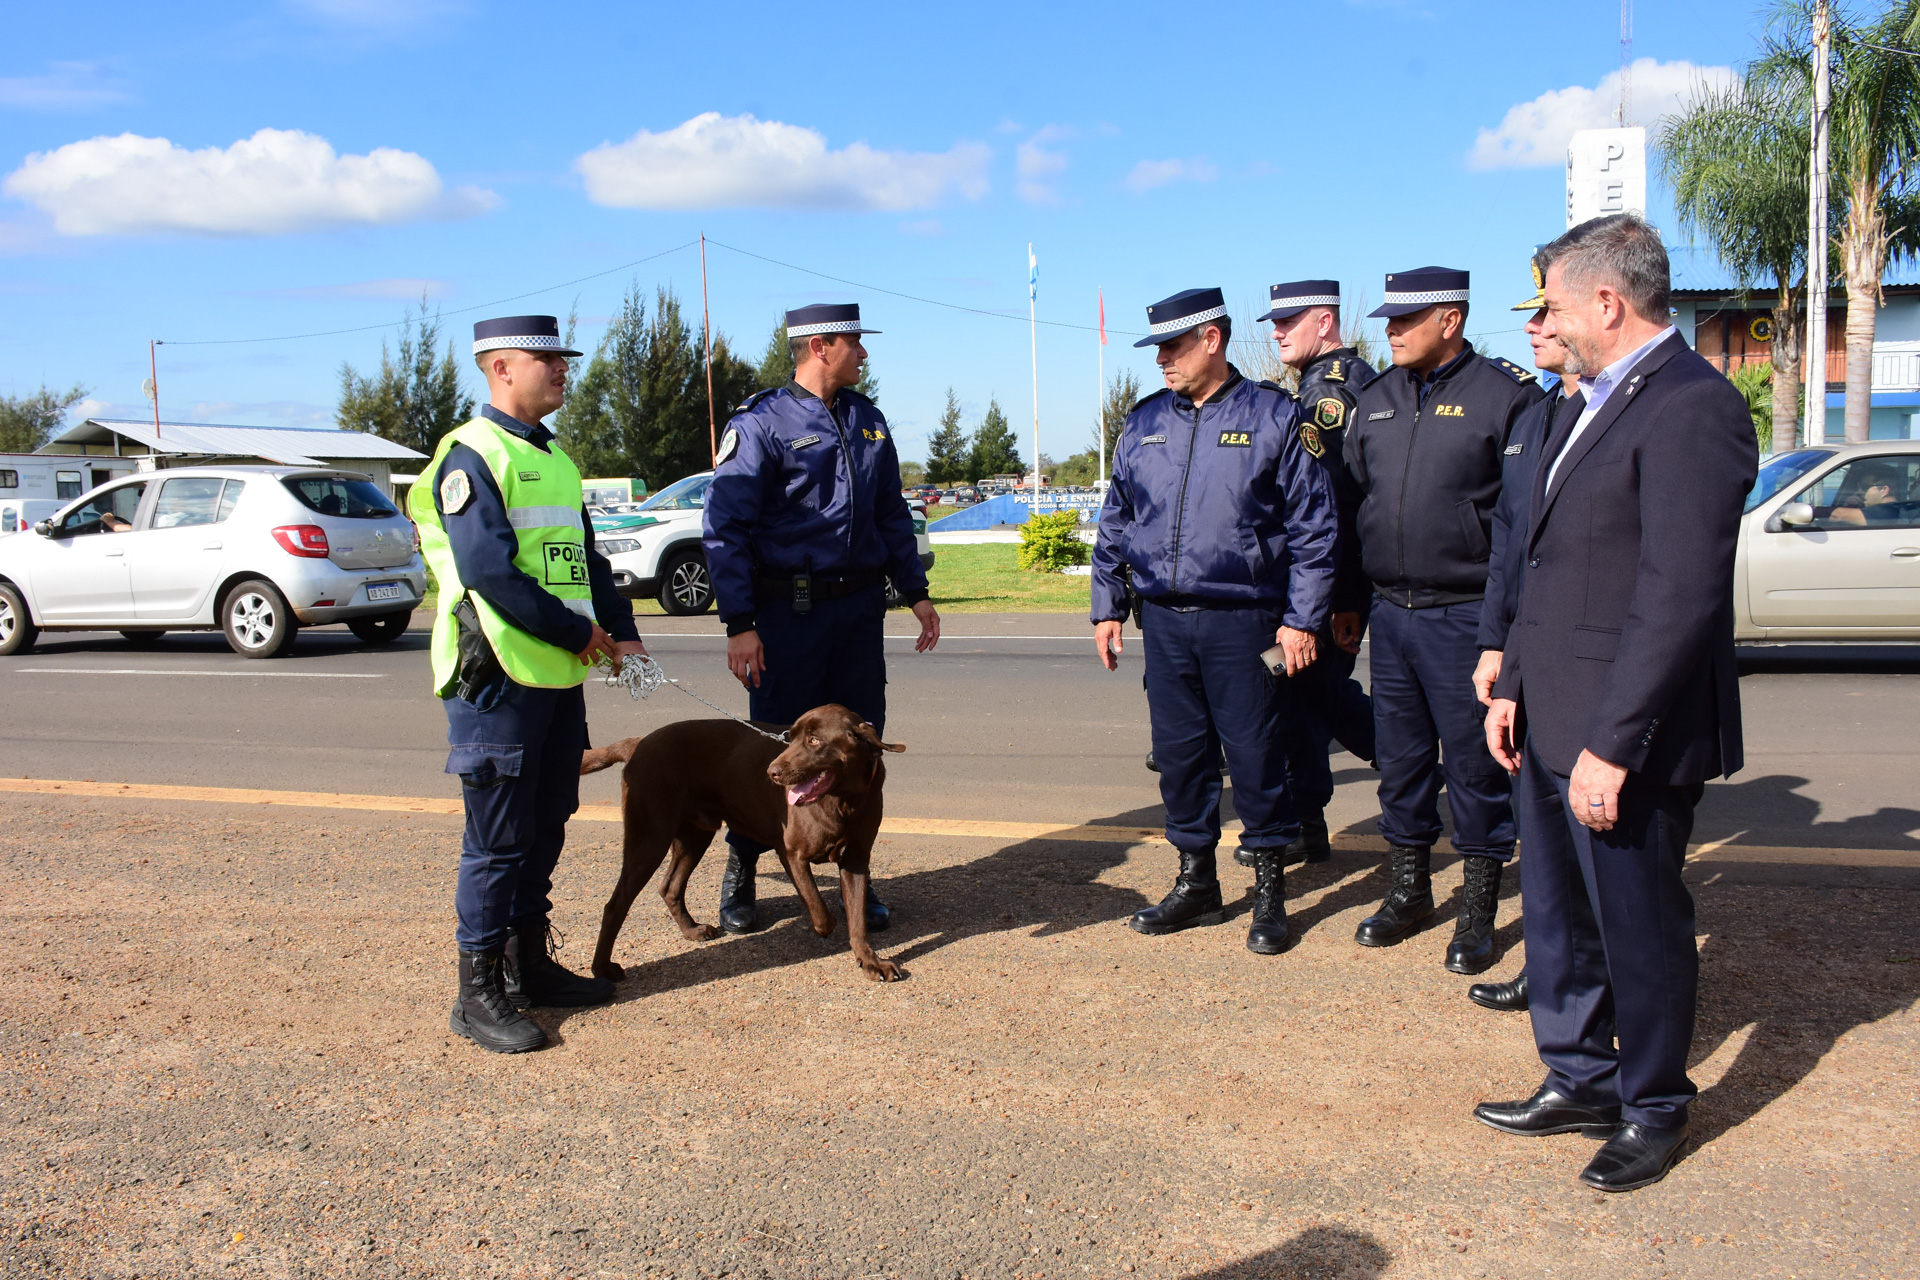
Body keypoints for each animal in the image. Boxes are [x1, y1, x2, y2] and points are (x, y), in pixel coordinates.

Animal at [576, 706, 906, 990]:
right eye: (790, 737)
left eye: (814, 740)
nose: (772, 772)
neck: (845, 801)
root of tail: (638, 743)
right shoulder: (792, 853)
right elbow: (821, 911)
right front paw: (824, 930)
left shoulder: (856, 860)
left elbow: (858, 919)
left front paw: (870, 962)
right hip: (649, 836)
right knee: (616, 904)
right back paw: (602, 969)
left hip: (694, 835)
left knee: (669, 887)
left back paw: (691, 930)